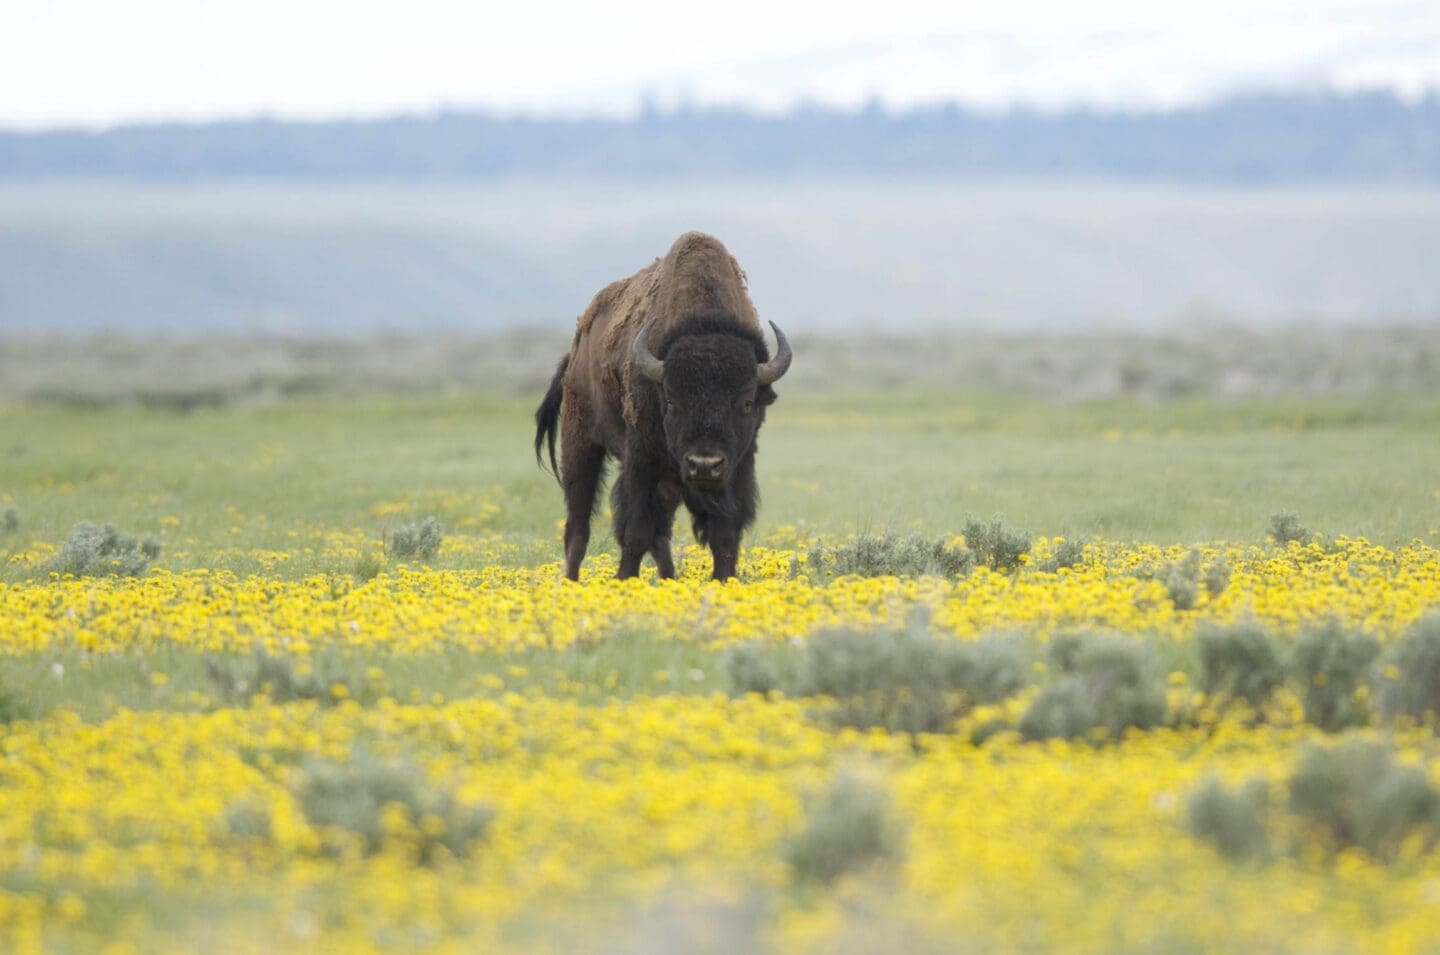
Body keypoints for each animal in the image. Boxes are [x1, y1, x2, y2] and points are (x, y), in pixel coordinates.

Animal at [534, 232, 791, 580]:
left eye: (747, 401)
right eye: (670, 401)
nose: (704, 465)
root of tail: (574, 354)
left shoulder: (739, 465)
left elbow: (724, 534)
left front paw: (723, 580)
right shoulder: (642, 461)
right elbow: (636, 531)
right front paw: (624, 580)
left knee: (661, 535)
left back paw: (669, 578)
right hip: (580, 443)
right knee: (579, 526)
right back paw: (570, 583)